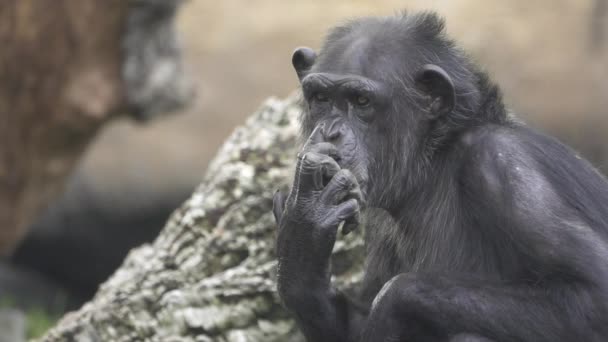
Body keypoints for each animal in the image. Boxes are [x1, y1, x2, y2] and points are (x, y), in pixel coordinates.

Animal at [274, 12, 608, 340]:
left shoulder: (506, 166)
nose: (331, 132)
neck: (431, 165)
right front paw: (303, 229)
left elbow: (593, 292)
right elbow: (355, 326)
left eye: (361, 101)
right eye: (320, 97)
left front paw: (390, 304)